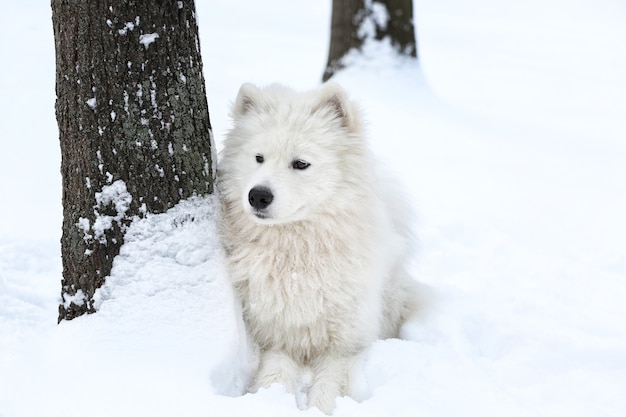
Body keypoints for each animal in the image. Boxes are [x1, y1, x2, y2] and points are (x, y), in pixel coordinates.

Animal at [217, 81, 416, 412]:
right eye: (258, 158)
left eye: (300, 164)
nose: (257, 196)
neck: (297, 254)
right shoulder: (276, 337)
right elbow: (273, 376)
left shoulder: (344, 345)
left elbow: (327, 390)